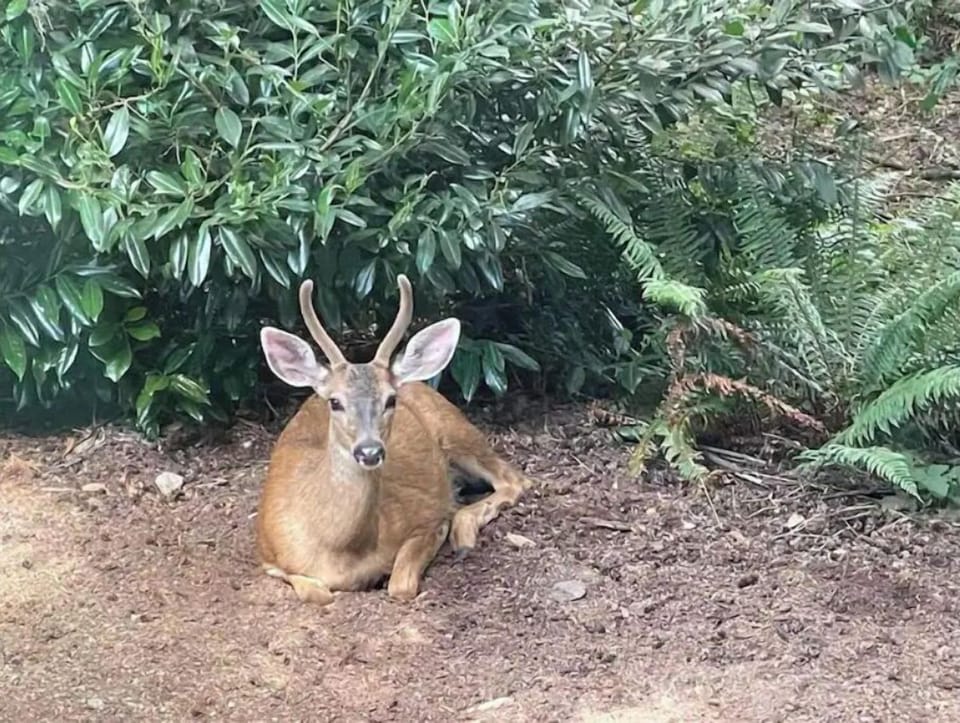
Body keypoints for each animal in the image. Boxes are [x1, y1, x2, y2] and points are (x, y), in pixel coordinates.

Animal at [256, 274, 532, 604]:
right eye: (334, 402)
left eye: (390, 400)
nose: (369, 451)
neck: (338, 552)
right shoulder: (268, 553)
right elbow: (316, 593)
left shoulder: (421, 516)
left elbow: (400, 585)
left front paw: (445, 527)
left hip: (455, 429)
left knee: (514, 479)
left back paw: (462, 533)